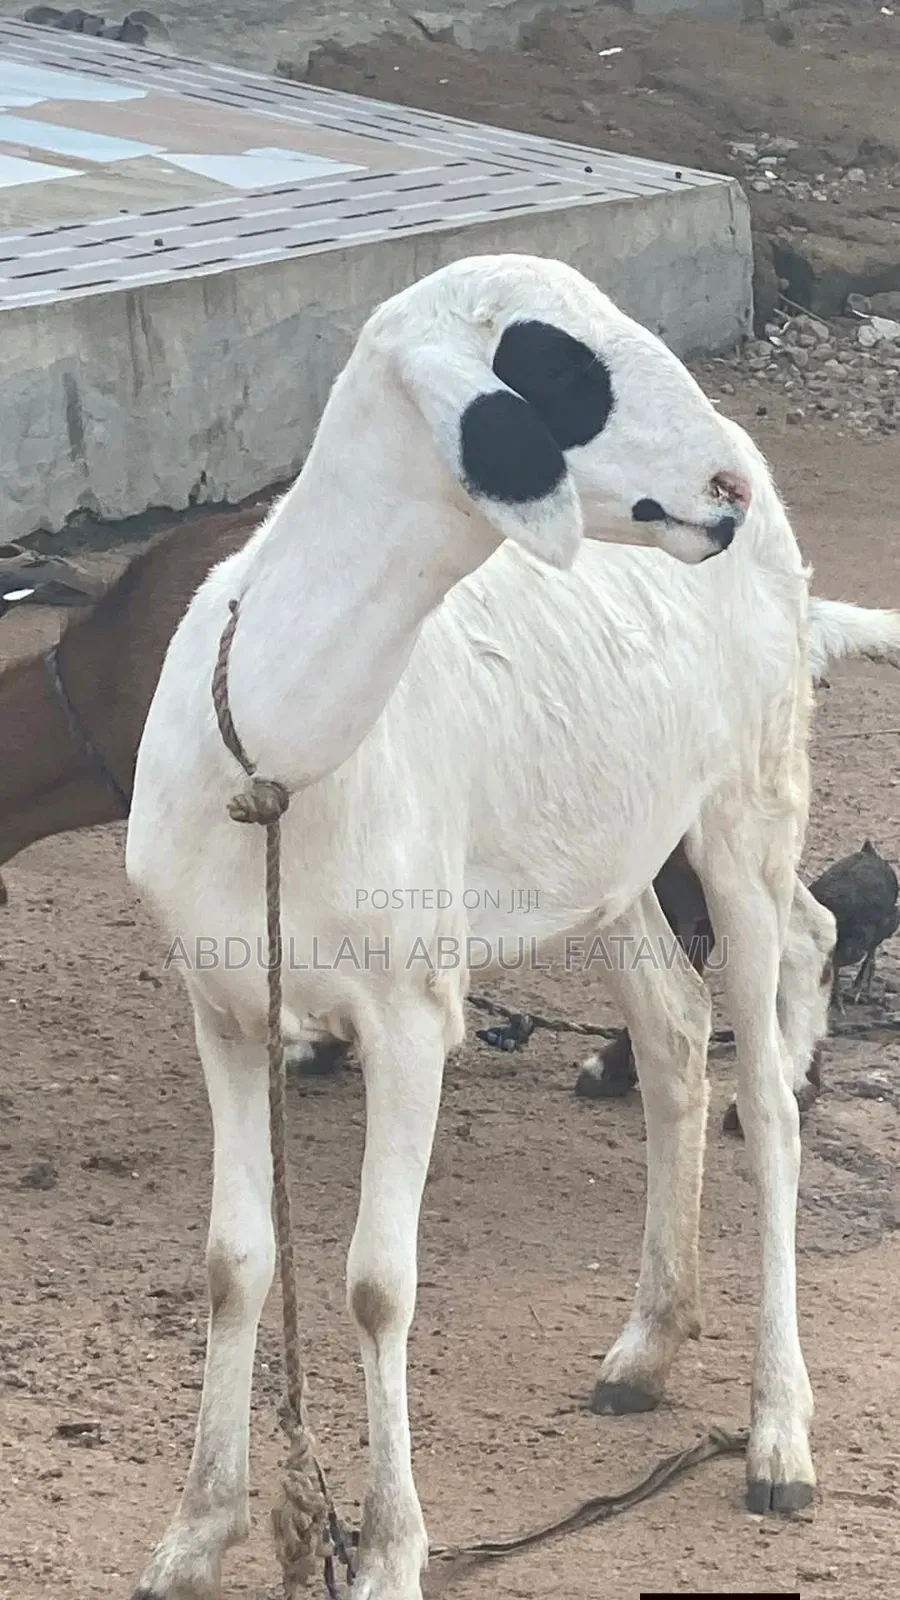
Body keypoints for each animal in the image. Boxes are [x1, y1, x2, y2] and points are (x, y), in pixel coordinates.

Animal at [126, 253, 806, 1600]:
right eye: (558, 366)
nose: (726, 490)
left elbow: (378, 1285)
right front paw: (197, 1529)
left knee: (769, 1086)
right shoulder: (221, 1000)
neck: (277, 760)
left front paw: (389, 1546)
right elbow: (234, 1261)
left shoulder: (406, 1013)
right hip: (618, 851)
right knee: (672, 1031)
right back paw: (649, 1344)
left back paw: (778, 1435)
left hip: (750, 812)